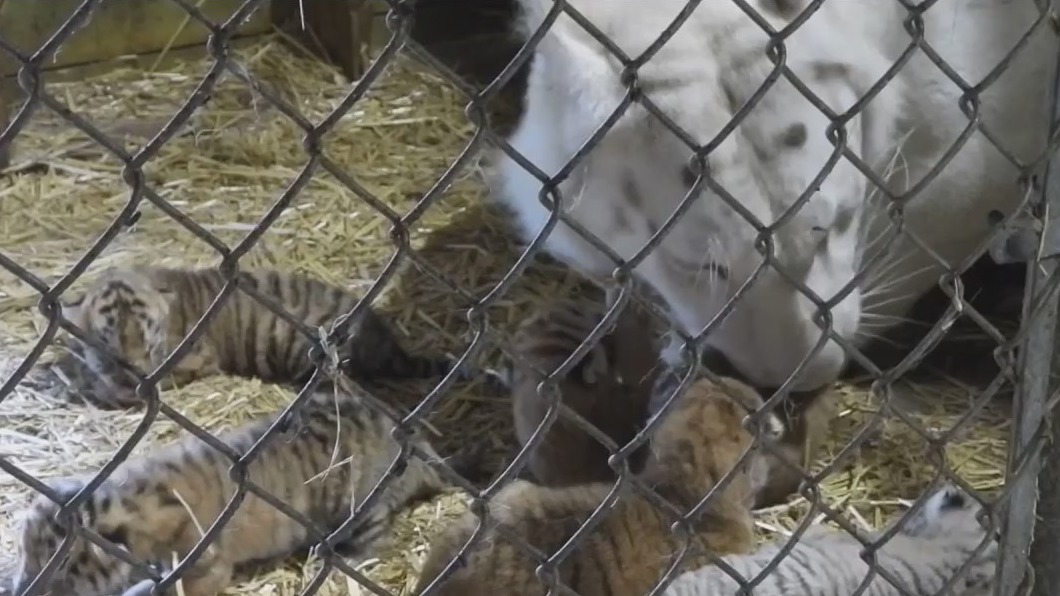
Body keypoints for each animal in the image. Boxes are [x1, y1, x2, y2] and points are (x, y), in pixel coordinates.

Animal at [11, 385, 471, 596]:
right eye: (23, 550)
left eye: (64, 564)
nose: (19, 589)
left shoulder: (203, 564)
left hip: (358, 506)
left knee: (374, 543)